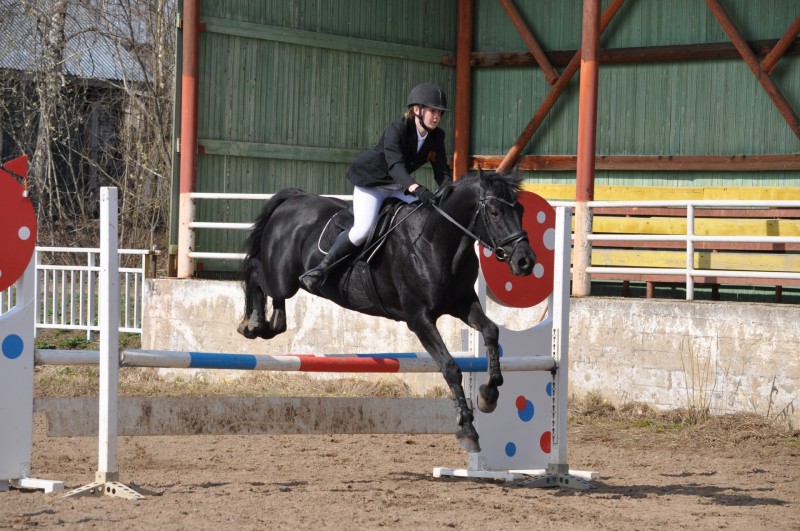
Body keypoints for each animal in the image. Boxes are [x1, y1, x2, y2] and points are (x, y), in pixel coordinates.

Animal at [238, 171, 536, 454]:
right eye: (495, 213)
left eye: (521, 210)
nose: (526, 262)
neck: (437, 241)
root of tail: (294, 199)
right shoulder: (419, 319)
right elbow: (450, 367)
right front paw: (468, 430)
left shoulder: (462, 303)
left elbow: (491, 331)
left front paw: (488, 395)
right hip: (283, 278)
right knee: (255, 270)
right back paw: (252, 324)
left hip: (284, 280)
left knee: (270, 290)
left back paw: (273, 321)